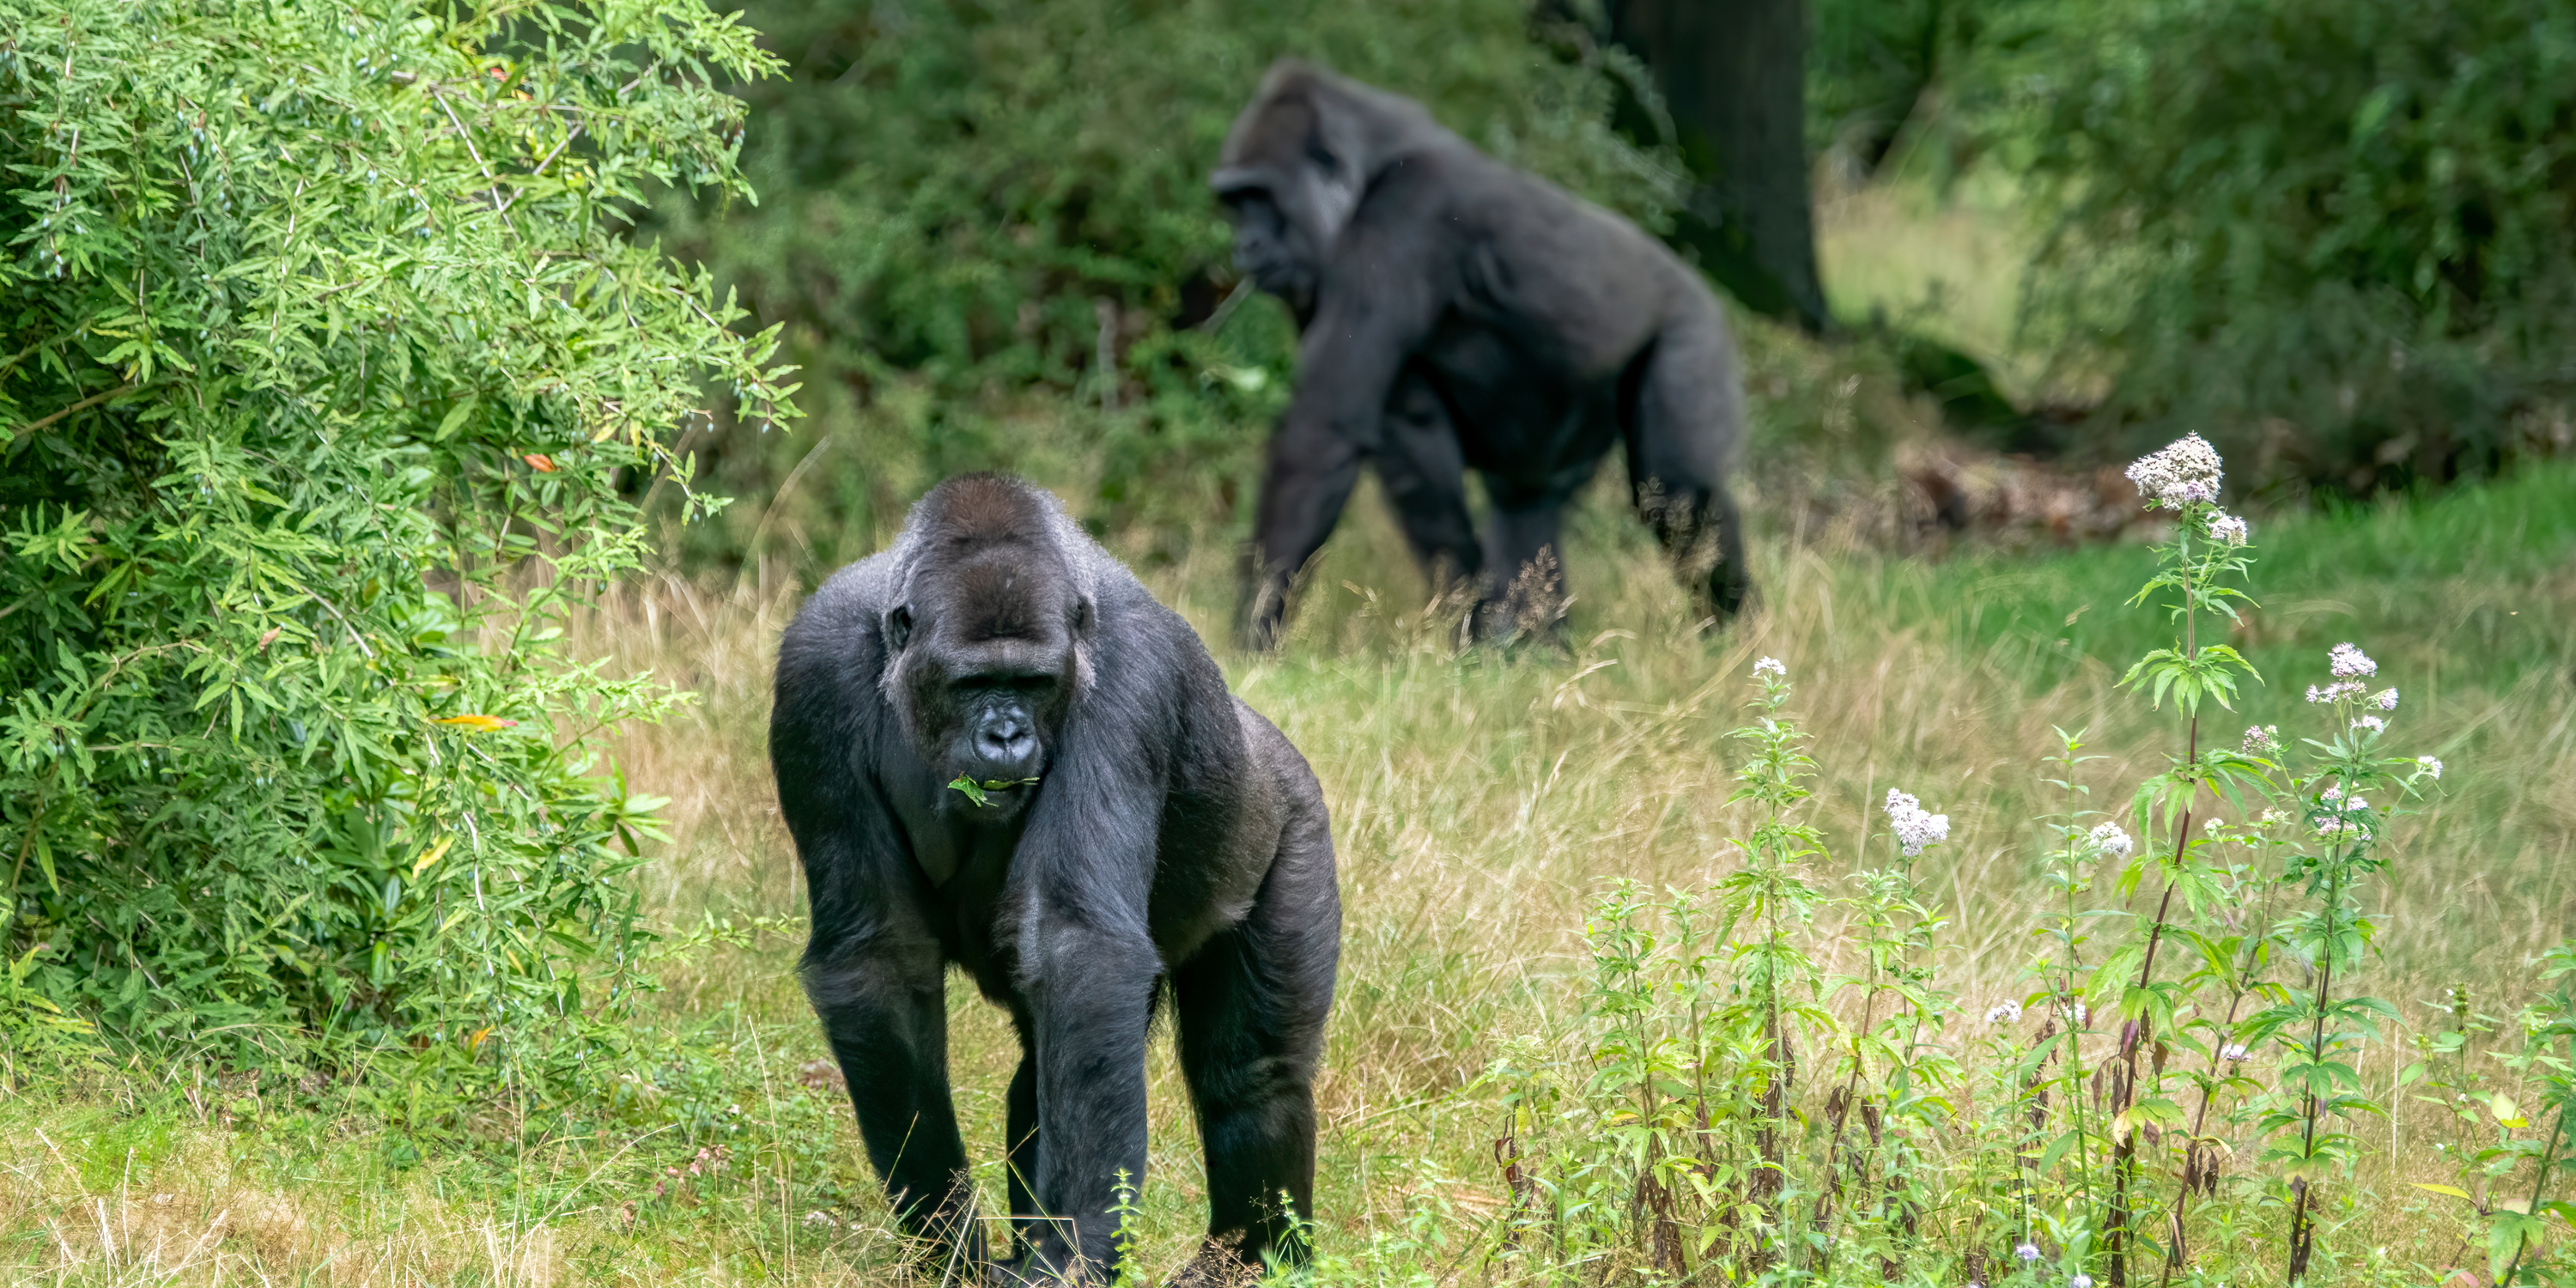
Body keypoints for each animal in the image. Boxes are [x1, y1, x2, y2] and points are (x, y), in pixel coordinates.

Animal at [768, 477, 1340, 1288]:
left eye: (1032, 684)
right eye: (975, 684)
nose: (1006, 735)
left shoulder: (1131, 670)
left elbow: (1081, 950)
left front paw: (1073, 1255)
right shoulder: (814, 667)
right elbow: (878, 956)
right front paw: (950, 1244)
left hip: (1293, 815)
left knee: (1253, 1072)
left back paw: (1253, 1260)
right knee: (1044, 1065)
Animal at [1221, 59, 1752, 649]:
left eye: (1260, 198)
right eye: (1235, 204)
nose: (1244, 247)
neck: (1371, 164)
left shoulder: (1405, 217)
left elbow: (1321, 433)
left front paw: (1252, 628)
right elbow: (1408, 443)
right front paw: (1468, 619)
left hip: (1693, 327)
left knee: (1680, 498)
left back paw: (1732, 635)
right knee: (1530, 509)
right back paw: (1540, 648)